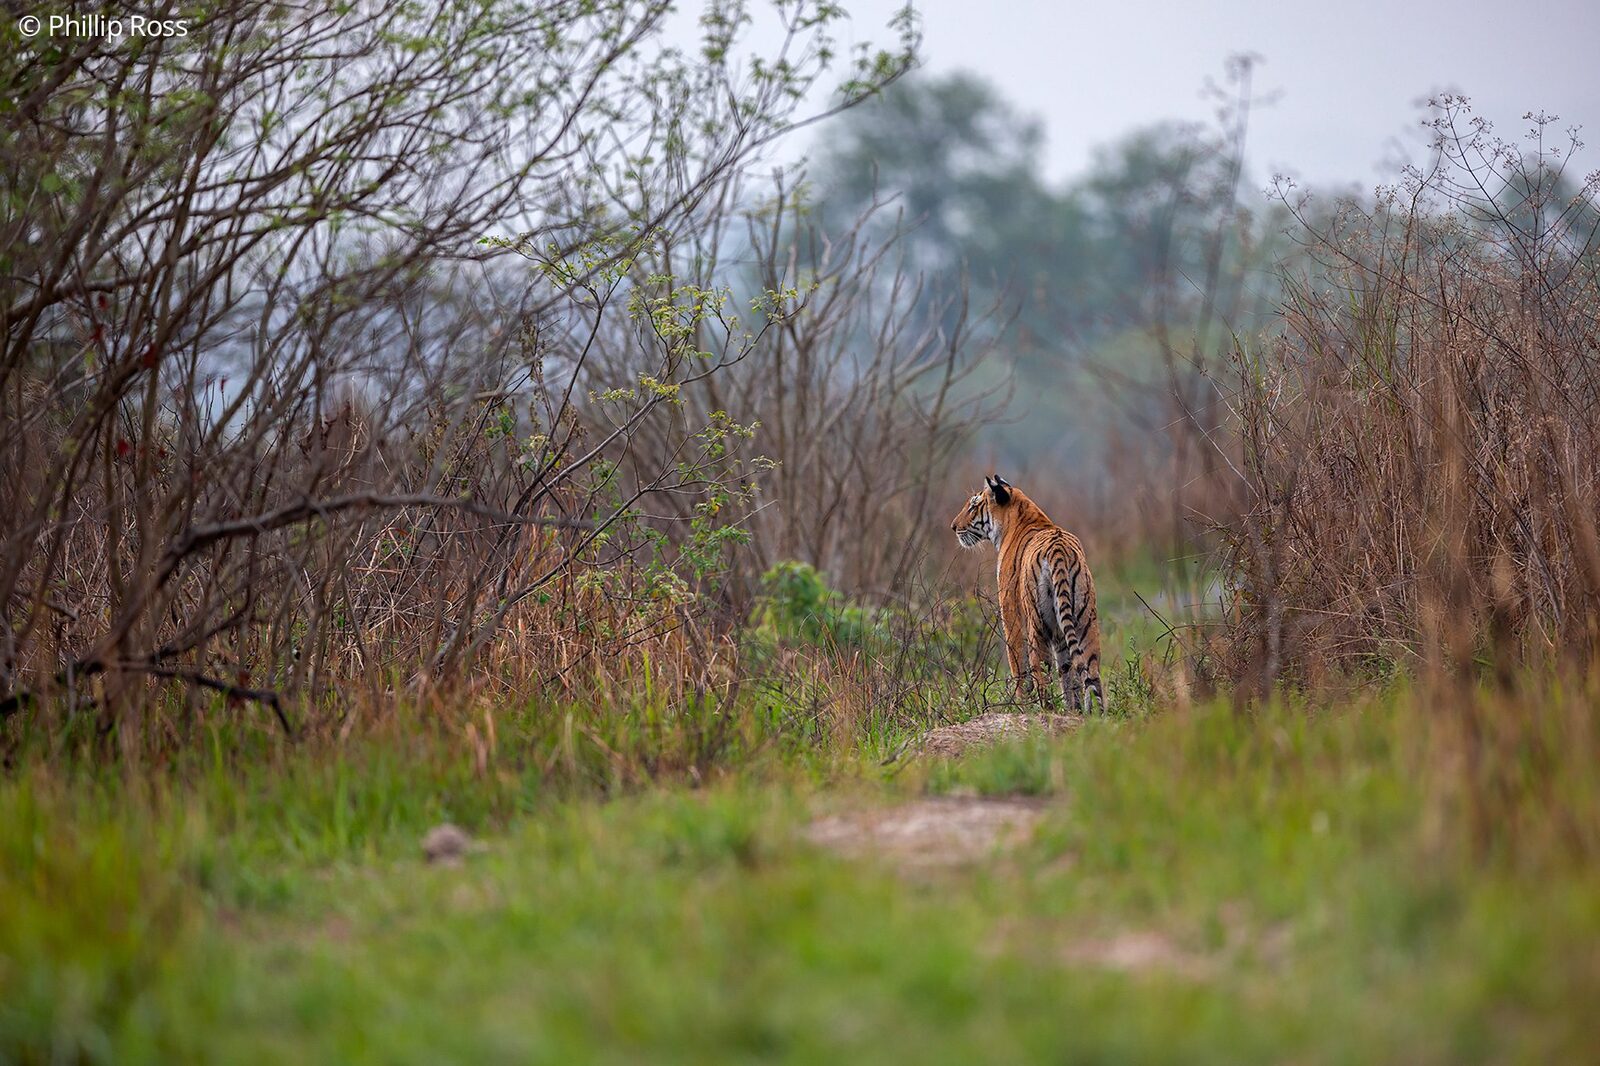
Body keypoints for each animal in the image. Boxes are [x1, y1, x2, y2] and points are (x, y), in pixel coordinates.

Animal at [951, 475, 1105, 712]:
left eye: (973, 506)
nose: (953, 526)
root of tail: (1059, 549)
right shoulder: (1061, 635)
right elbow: (1067, 673)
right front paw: (1073, 710)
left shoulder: (1009, 610)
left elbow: (1017, 662)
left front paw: (1020, 702)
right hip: (1085, 623)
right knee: (1092, 674)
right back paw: (1096, 715)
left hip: (1037, 625)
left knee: (1041, 674)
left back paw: (1045, 712)